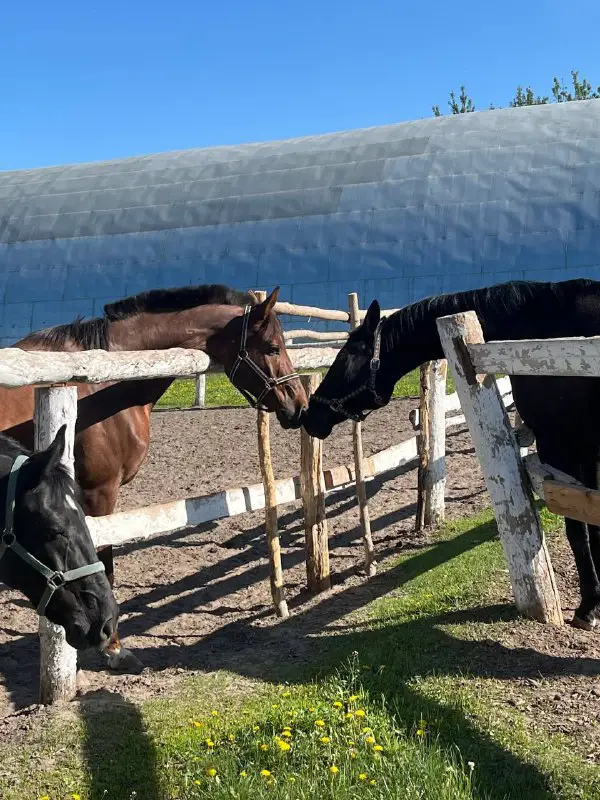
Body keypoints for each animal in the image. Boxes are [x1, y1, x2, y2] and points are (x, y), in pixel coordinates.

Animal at [300, 278, 600, 628]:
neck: (542, 332)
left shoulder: (562, 445)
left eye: (346, 356)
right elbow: (591, 524)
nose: (309, 415)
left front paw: (587, 608)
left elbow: (578, 528)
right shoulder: (587, 451)